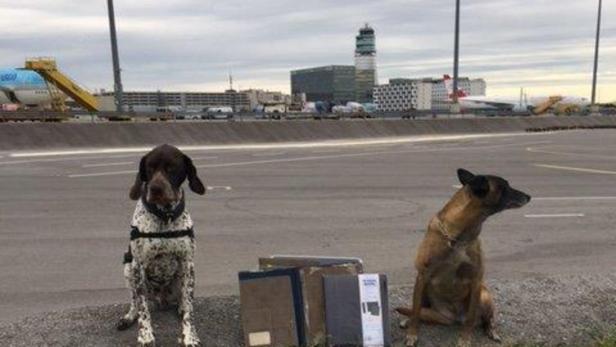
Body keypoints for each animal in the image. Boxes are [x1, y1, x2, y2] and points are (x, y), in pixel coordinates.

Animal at [118, 144, 207, 347]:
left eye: (171, 168)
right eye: (149, 168)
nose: (155, 188)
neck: (165, 217)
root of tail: (162, 299)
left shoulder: (188, 264)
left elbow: (189, 309)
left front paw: (190, 336)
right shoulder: (138, 266)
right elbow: (143, 308)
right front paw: (145, 336)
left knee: (183, 299)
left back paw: (180, 306)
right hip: (127, 268)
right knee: (134, 300)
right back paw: (129, 316)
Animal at [400, 169, 528, 347]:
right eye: (504, 187)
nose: (529, 196)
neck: (458, 238)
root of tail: (454, 318)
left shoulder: (476, 280)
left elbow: (471, 319)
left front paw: (465, 339)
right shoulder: (422, 275)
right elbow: (416, 309)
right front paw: (412, 334)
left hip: (484, 295)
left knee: (486, 319)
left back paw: (492, 331)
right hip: (425, 290)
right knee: (419, 309)